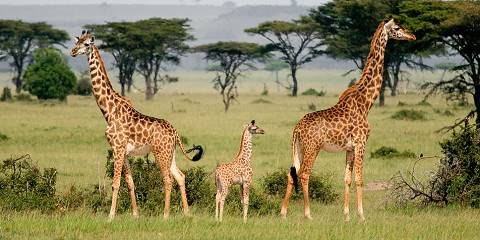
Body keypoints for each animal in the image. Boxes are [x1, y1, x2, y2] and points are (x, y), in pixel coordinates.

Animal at [70, 30, 202, 221]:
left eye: (86, 44)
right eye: (77, 41)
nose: (73, 51)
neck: (108, 111)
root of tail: (175, 132)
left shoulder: (117, 148)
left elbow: (116, 183)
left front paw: (110, 216)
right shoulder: (124, 152)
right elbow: (130, 182)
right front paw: (135, 214)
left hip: (161, 153)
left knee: (168, 179)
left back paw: (165, 214)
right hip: (170, 153)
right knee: (180, 176)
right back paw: (187, 213)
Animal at [280, 20, 414, 221]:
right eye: (397, 28)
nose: (412, 36)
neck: (366, 103)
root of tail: (297, 129)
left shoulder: (349, 148)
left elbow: (347, 178)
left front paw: (347, 215)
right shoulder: (361, 143)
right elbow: (359, 178)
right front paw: (361, 215)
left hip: (300, 148)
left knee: (292, 173)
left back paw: (283, 213)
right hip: (313, 148)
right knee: (304, 174)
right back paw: (308, 214)